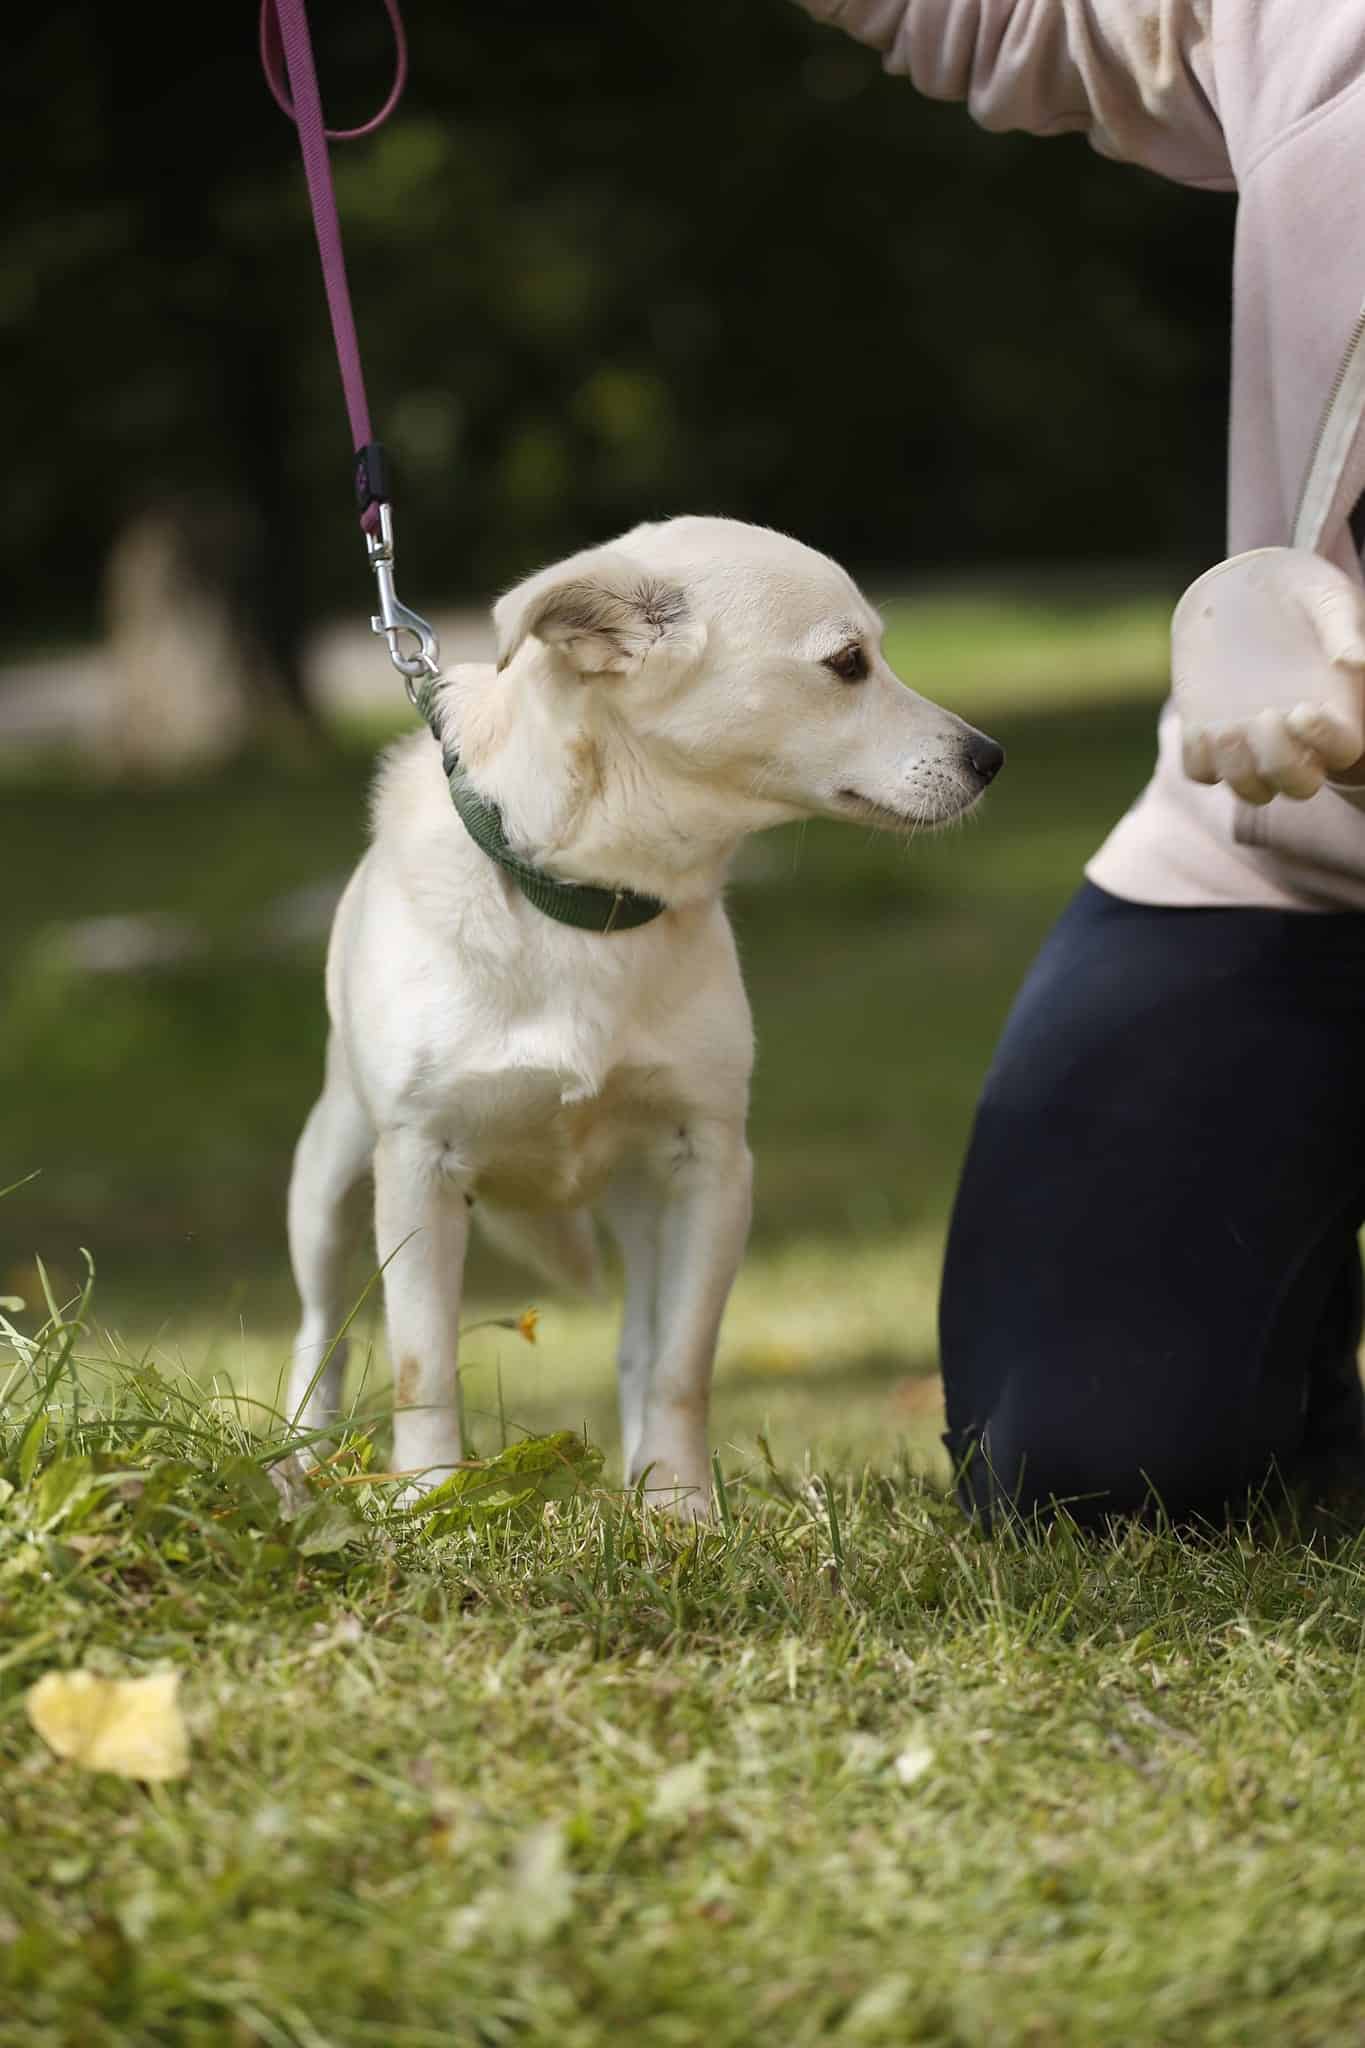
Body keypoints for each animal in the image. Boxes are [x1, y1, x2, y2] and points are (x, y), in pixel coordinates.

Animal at [286, 516, 1002, 1512]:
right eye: (848, 663)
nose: (990, 758)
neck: (587, 903)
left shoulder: (710, 1169)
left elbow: (679, 1366)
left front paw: (679, 1507)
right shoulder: (419, 1168)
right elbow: (421, 1368)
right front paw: (426, 1497)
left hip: (642, 1208)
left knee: (635, 1345)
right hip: (329, 1182)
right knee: (325, 1331)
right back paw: (299, 1461)